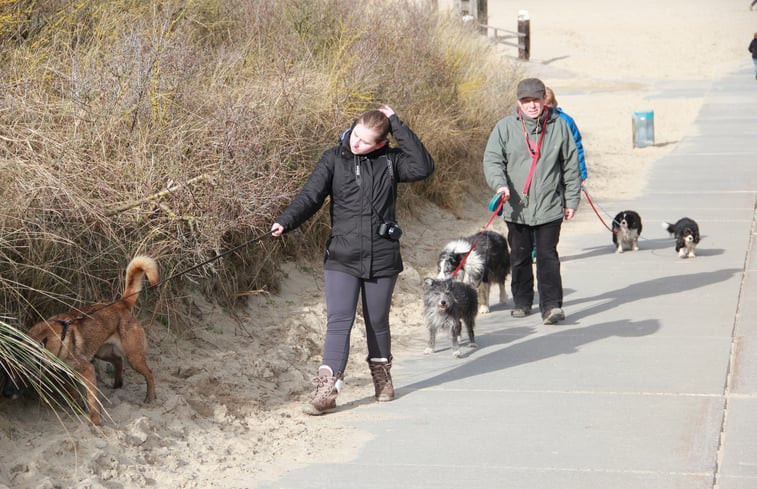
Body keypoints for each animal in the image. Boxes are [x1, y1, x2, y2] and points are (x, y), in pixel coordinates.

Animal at [28, 255, 159, 424]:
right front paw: (79, 407)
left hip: (133, 358)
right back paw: (117, 384)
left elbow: (92, 399)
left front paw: (95, 420)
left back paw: (150, 396)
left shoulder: (87, 370)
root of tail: (120, 304)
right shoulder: (68, 373)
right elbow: (73, 394)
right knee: (118, 361)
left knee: (149, 373)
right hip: (102, 352)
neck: (59, 338)